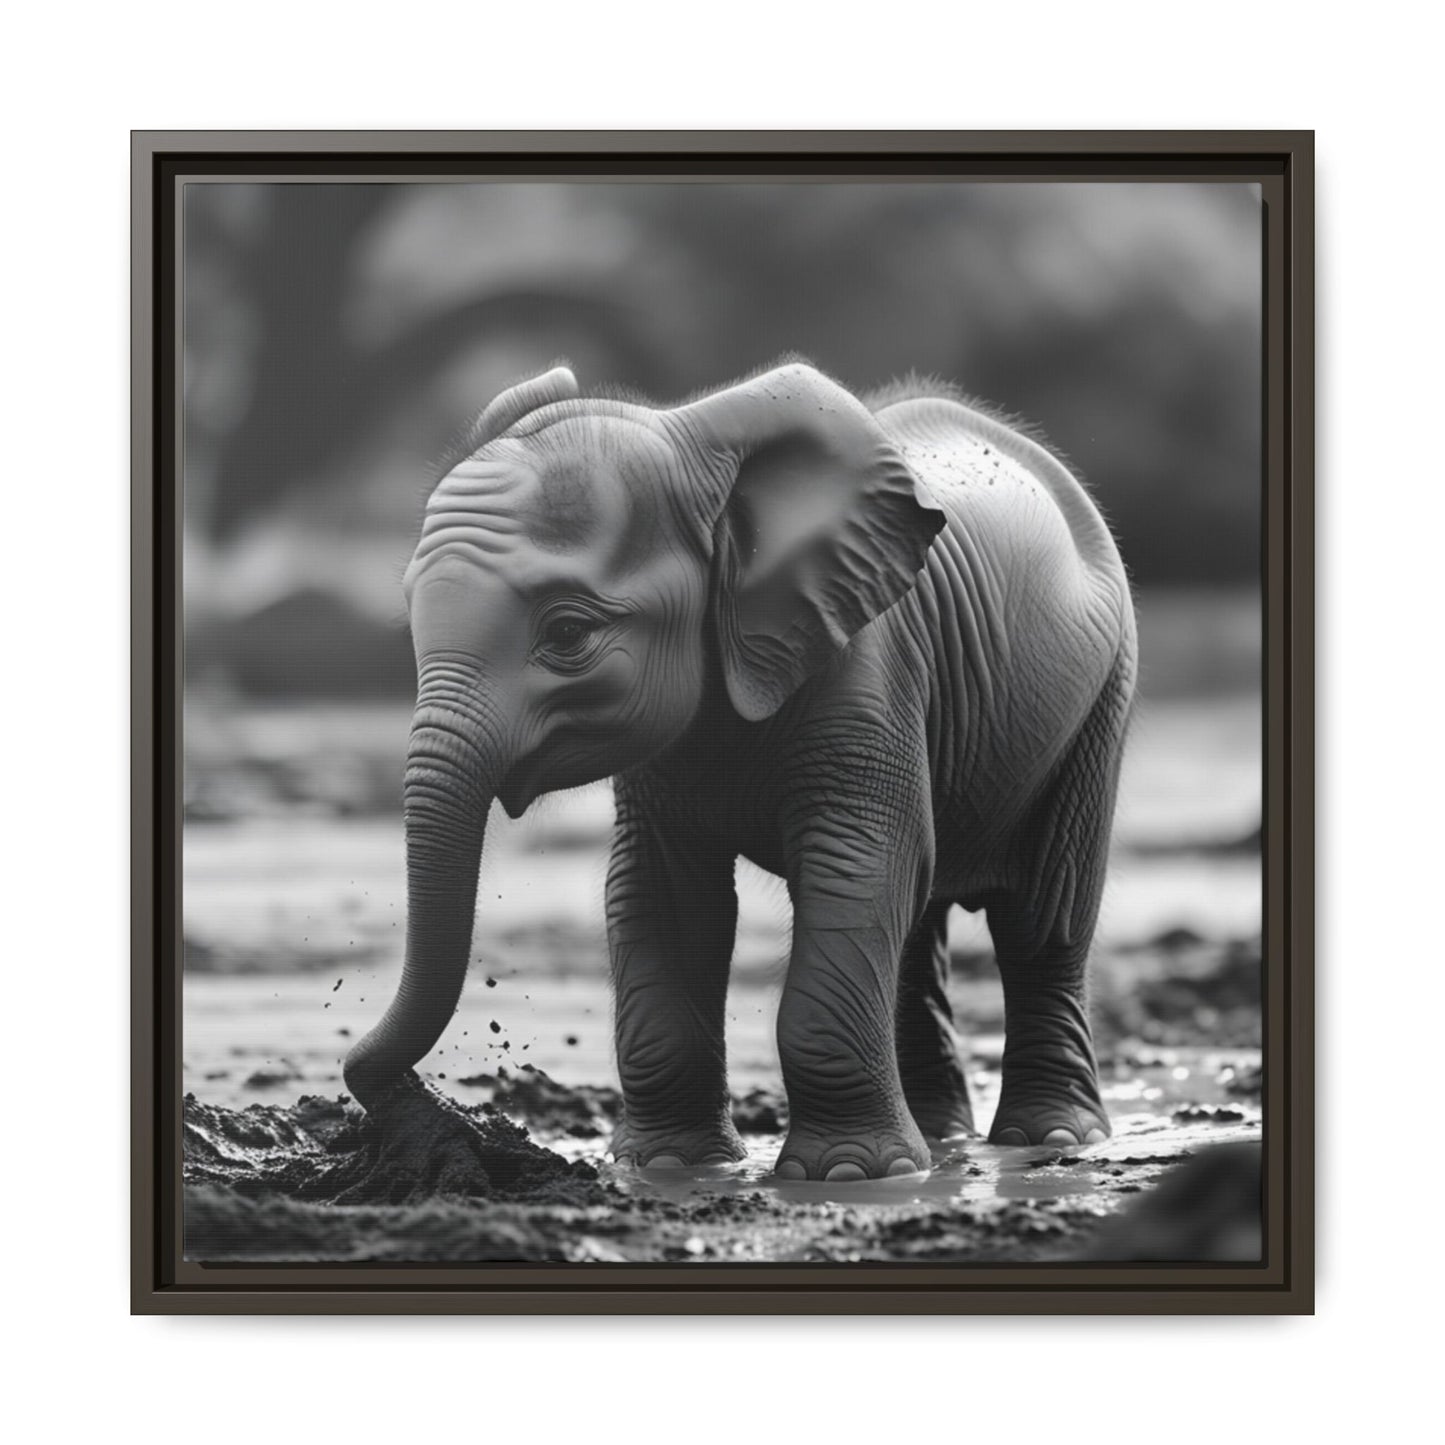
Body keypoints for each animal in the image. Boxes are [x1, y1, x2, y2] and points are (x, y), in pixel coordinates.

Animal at [343, 358, 1137, 1182]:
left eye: (567, 633)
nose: (419, 1105)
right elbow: (662, 893)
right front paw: (668, 1166)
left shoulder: (868, 665)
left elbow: (856, 866)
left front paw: (847, 1174)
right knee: (920, 925)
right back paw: (941, 1141)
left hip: (1101, 695)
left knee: (1042, 915)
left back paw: (1050, 1138)